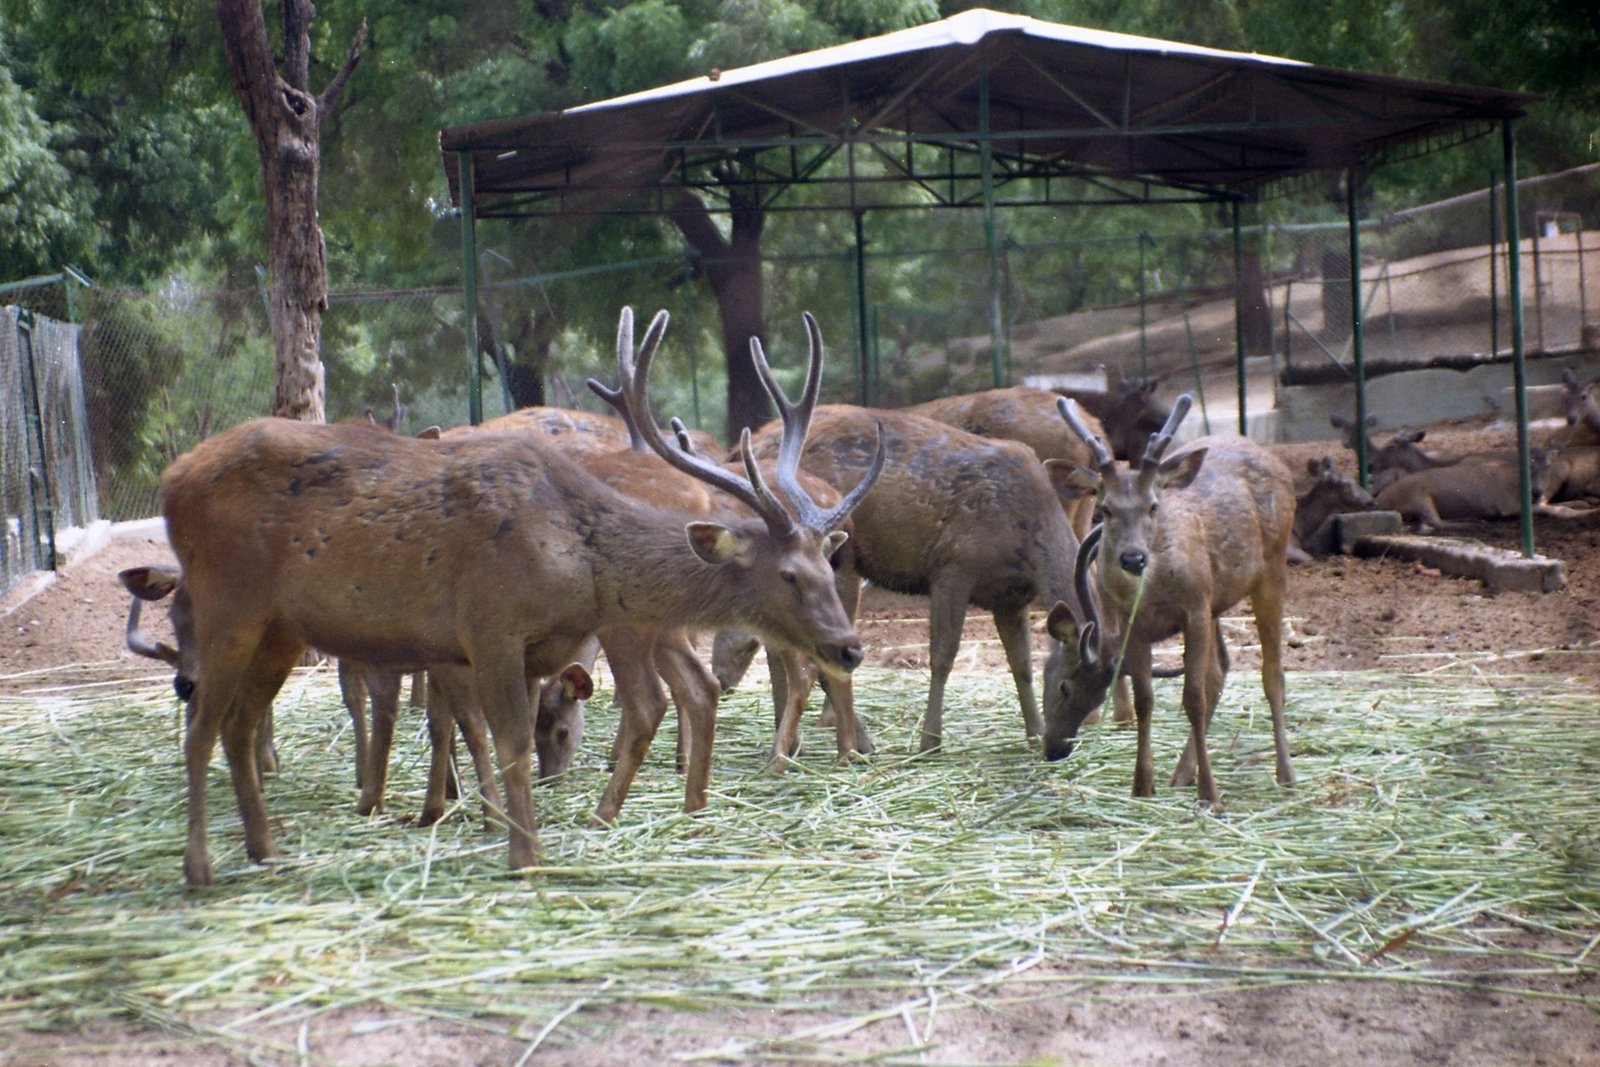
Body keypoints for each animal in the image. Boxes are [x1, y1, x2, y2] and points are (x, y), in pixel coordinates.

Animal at [157, 306, 880, 886]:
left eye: (828, 563)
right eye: (788, 574)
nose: (850, 647)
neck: (574, 562)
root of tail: (171, 481)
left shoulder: (521, 649)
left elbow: (511, 736)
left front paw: (501, 828)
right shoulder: (489, 627)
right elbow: (506, 740)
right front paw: (522, 854)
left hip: (279, 628)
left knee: (237, 725)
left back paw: (266, 848)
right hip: (228, 602)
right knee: (200, 726)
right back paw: (200, 866)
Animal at [1052, 394, 1298, 807]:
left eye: (1153, 505)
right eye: (1106, 508)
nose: (1133, 558)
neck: (1149, 595)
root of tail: (1274, 457)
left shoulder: (1194, 608)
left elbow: (1192, 698)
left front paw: (1210, 794)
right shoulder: (1133, 624)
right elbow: (1145, 699)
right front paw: (1142, 784)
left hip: (1271, 568)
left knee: (1272, 673)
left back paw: (1286, 774)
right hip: (1216, 598)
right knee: (1220, 669)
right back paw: (1181, 774)